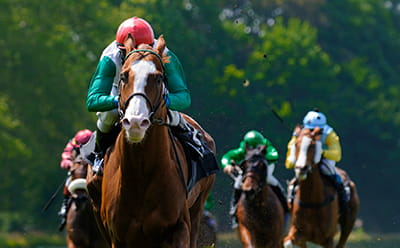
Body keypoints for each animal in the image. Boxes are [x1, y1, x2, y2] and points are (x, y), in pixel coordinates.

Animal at [90, 35, 216, 247]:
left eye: (158, 78)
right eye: (124, 76)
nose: (135, 122)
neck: (141, 172)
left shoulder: (179, 227)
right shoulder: (118, 236)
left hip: (197, 208)